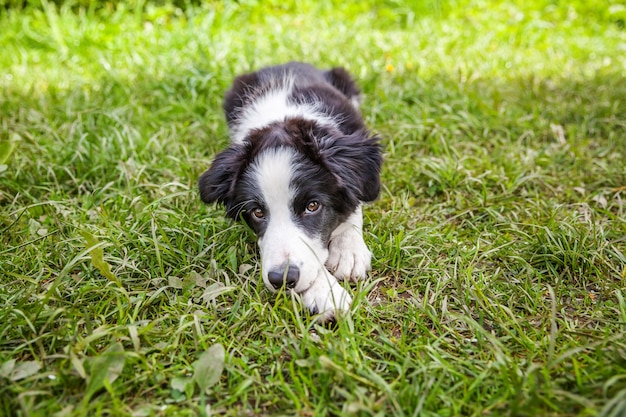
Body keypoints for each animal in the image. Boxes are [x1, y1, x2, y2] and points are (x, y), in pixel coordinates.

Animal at [197, 61, 380, 320]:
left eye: (312, 206)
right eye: (257, 212)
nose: (281, 280)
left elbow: (355, 201)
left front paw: (348, 252)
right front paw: (326, 293)